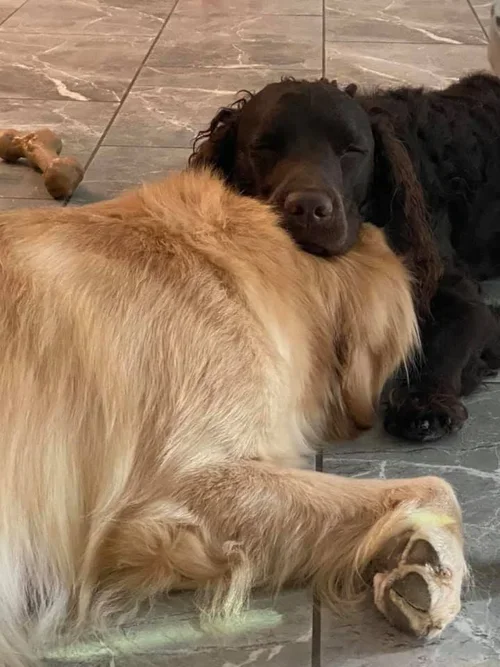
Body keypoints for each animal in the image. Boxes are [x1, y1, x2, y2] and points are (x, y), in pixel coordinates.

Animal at [190, 74, 500, 443]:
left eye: (351, 151)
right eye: (264, 147)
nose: (309, 208)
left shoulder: (451, 288)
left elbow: (448, 337)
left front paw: (425, 402)